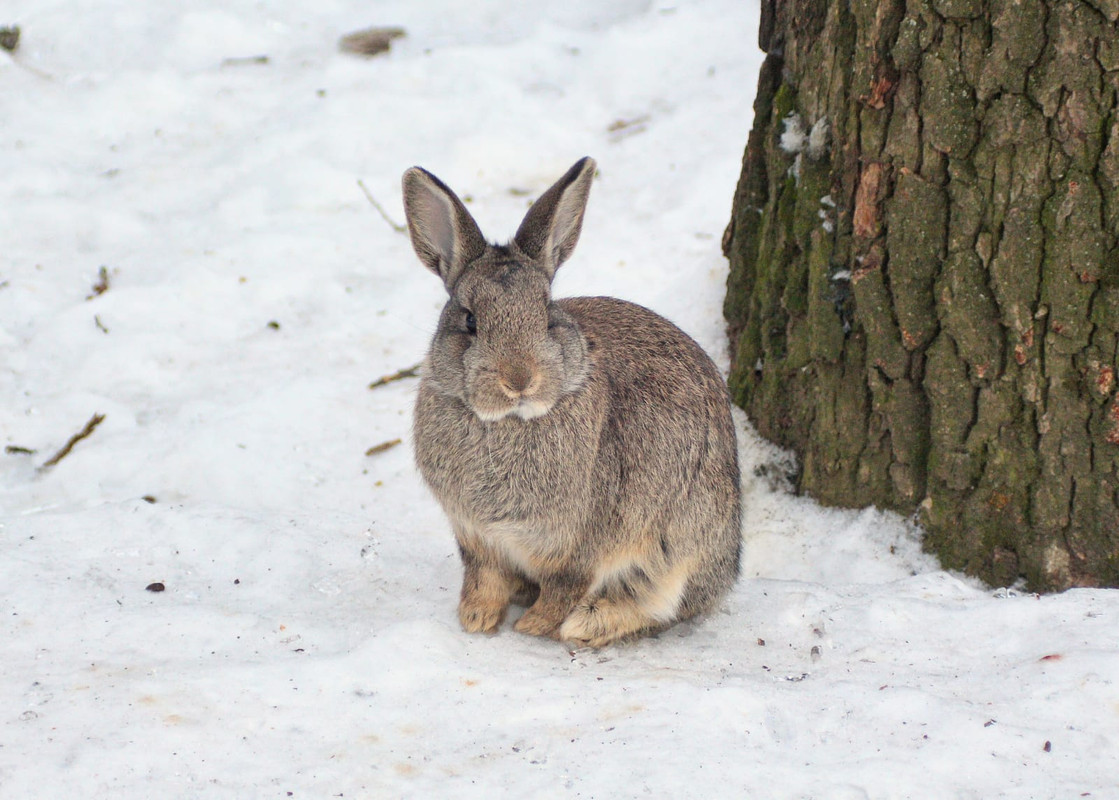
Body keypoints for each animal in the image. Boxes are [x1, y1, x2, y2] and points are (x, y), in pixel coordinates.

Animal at [402, 157, 743, 648]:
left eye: (547, 315)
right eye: (469, 321)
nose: (519, 379)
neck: (509, 420)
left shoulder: (581, 544)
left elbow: (565, 587)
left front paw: (532, 627)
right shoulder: (478, 538)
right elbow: (484, 578)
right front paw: (477, 620)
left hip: (682, 542)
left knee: (660, 603)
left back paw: (589, 622)